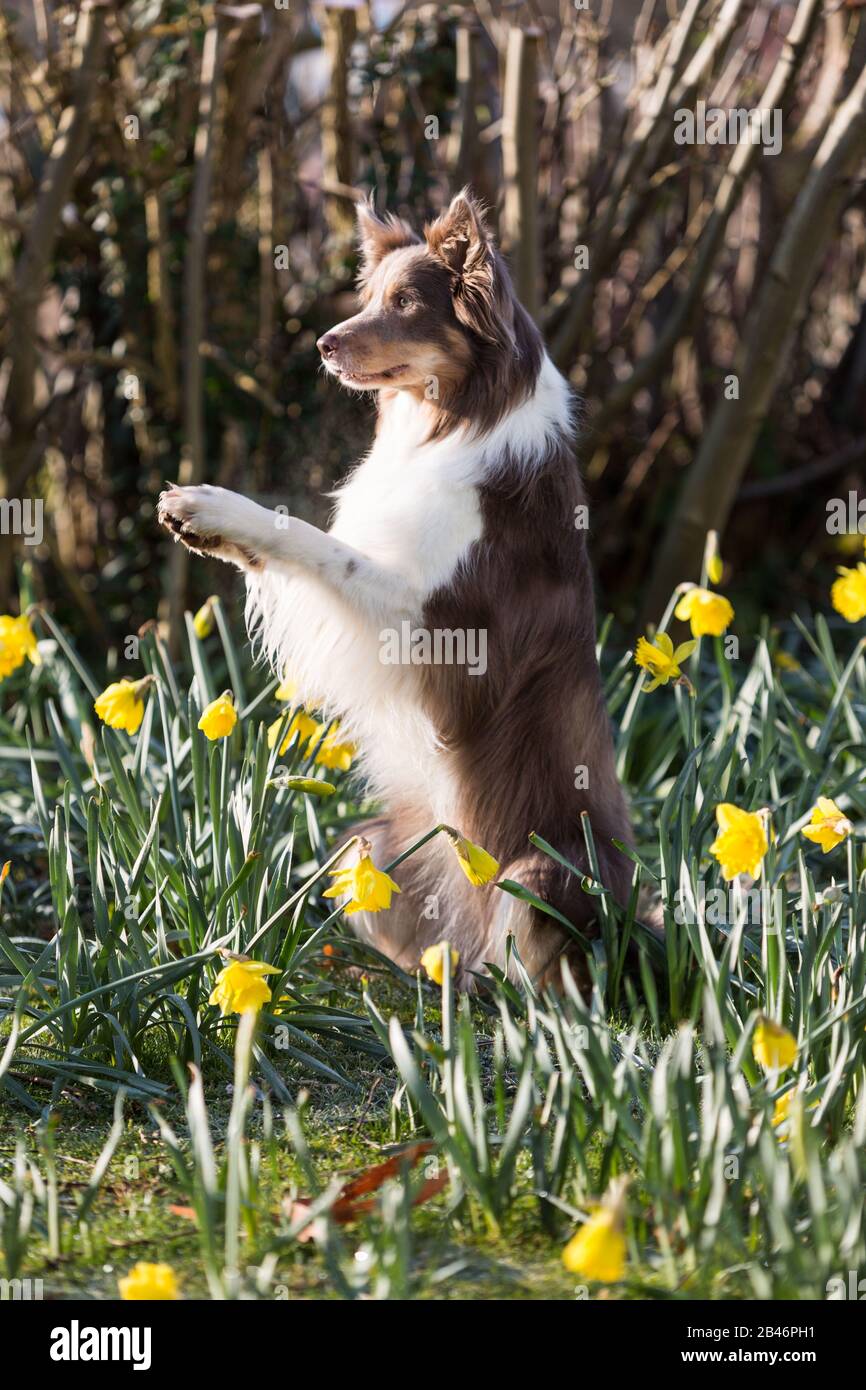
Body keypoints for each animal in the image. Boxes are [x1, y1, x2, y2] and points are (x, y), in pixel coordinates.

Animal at [157, 193, 631, 989]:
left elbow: (318, 546)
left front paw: (216, 507)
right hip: (369, 847)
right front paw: (210, 530)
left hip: (540, 875)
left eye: (407, 303)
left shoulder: (443, 636)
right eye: (371, 297)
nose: (322, 344)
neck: (454, 418)